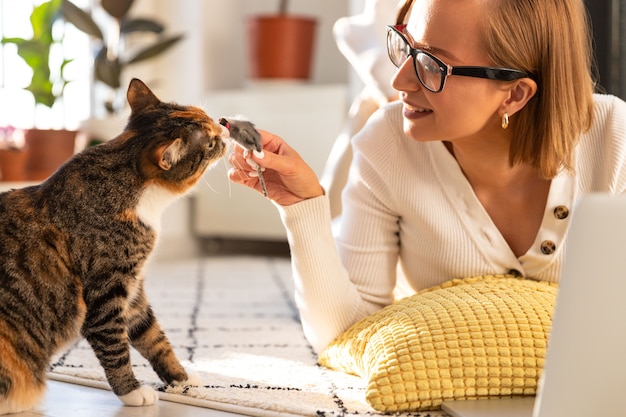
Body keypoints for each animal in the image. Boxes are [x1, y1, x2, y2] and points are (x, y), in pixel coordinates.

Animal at [0, 78, 227, 412]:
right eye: (210, 142)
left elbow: (154, 338)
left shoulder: (133, 289)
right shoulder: (106, 290)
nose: (224, 126)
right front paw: (132, 391)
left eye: (208, 116)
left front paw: (180, 378)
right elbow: (115, 347)